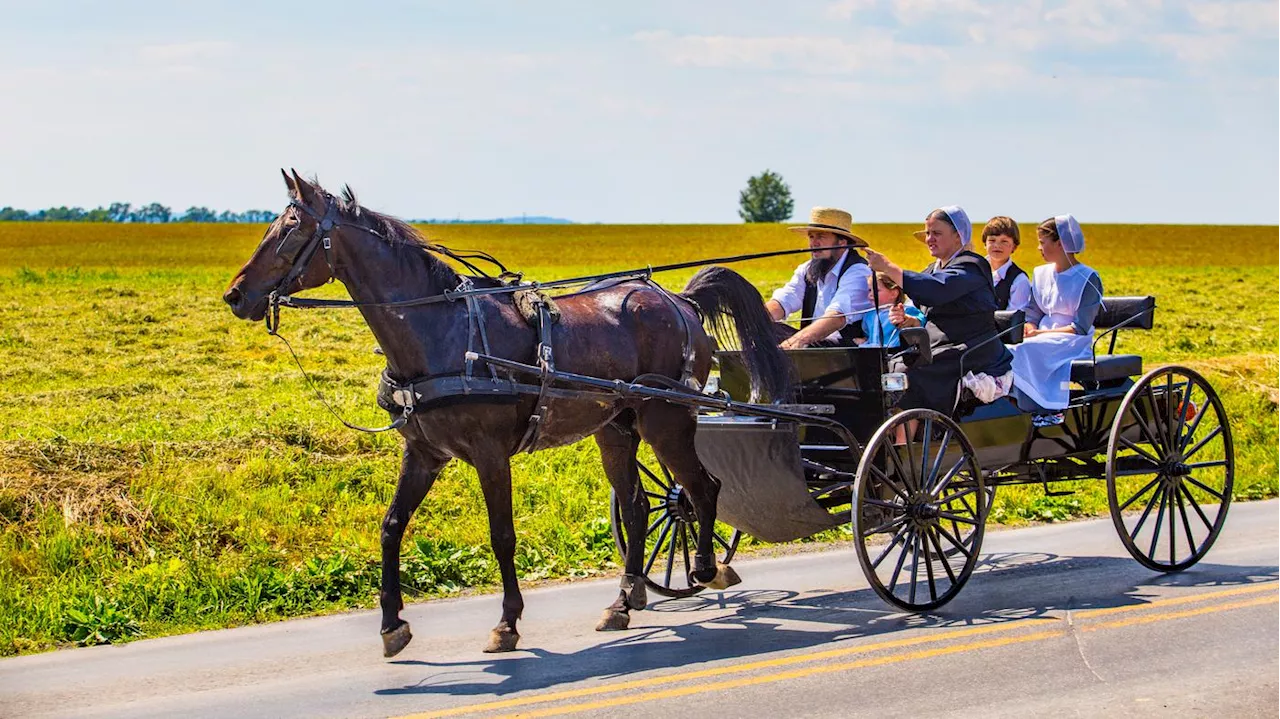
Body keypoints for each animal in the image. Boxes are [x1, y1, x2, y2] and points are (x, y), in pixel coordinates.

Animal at [225, 172, 793, 655]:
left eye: (290, 230)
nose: (235, 295)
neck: (442, 332)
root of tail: (679, 300)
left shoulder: (490, 454)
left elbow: (502, 536)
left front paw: (507, 623)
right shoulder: (425, 453)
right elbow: (391, 527)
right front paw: (392, 625)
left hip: (667, 417)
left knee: (700, 489)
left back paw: (706, 569)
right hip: (616, 428)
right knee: (636, 507)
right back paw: (624, 600)